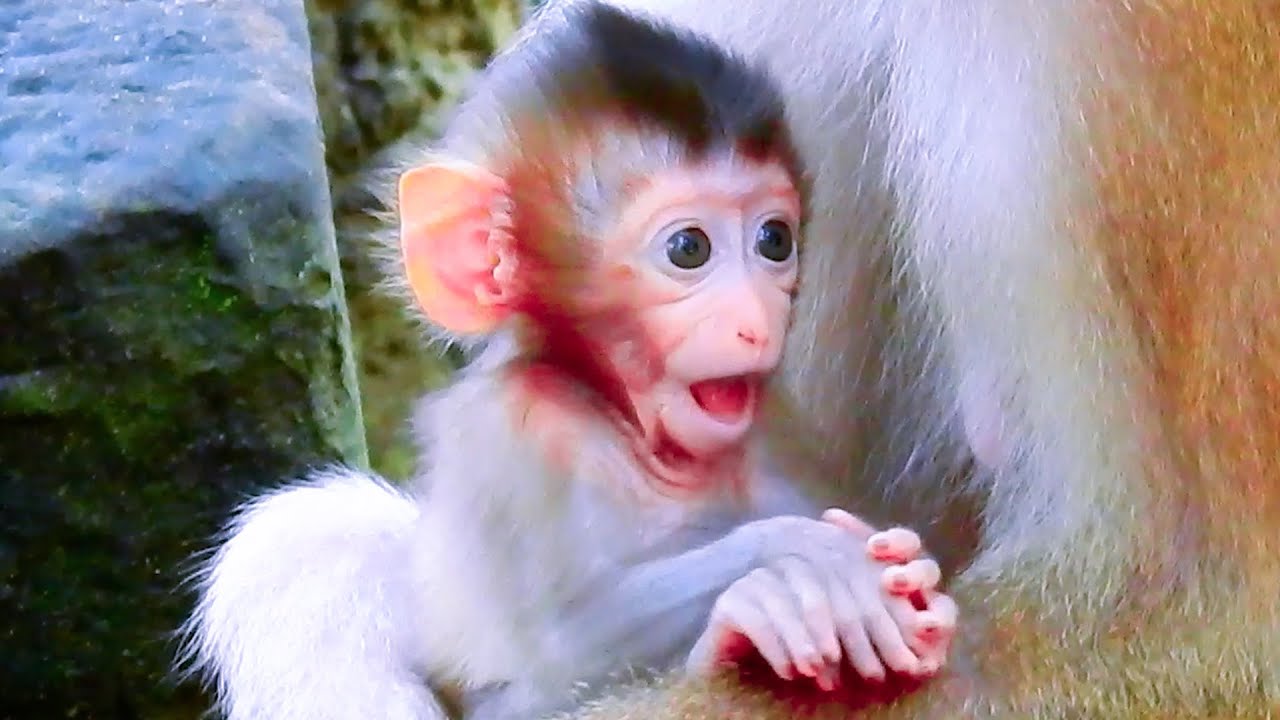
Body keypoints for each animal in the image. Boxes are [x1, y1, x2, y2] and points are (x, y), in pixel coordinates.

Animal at [178, 4, 962, 720]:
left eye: (775, 240)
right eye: (689, 249)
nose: (755, 318)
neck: (630, 427)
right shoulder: (518, 435)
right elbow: (562, 648)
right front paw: (797, 566)